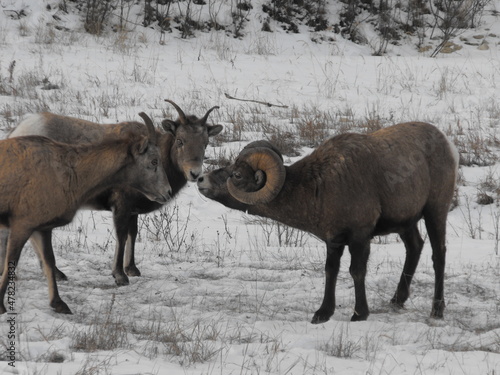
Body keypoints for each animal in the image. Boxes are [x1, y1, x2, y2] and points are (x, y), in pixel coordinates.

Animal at [0, 112, 171, 314]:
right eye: (154, 161)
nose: (167, 192)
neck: (71, 175)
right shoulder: (23, 225)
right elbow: (12, 260)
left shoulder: (41, 228)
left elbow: (49, 261)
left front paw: (59, 304)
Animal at [3, 101, 223, 286]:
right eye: (180, 140)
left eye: (205, 143)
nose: (194, 173)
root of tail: (16, 132)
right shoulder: (121, 205)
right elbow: (122, 236)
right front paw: (120, 275)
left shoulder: (132, 210)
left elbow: (133, 234)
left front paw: (132, 269)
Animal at [197, 123, 458, 324]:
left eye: (237, 175)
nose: (201, 179)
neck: (318, 185)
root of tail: (446, 144)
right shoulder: (334, 241)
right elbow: (331, 271)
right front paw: (322, 314)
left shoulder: (359, 237)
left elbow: (356, 271)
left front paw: (359, 314)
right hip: (406, 224)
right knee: (415, 247)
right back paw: (397, 300)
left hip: (435, 212)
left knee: (439, 255)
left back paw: (437, 310)